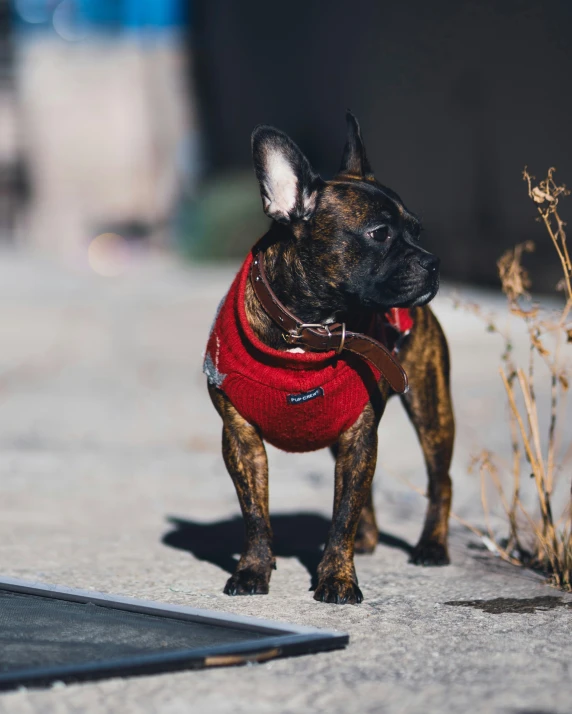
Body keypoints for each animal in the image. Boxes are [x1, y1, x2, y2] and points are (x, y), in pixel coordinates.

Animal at [203, 111, 454, 600]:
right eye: (380, 233)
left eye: (417, 230)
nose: (432, 261)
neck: (308, 327)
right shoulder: (240, 438)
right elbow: (255, 515)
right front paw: (254, 569)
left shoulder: (360, 434)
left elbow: (342, 516)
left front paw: (337, 575)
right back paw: (370, 539)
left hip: (431, 409)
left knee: (440, 481)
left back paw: (431, 546)